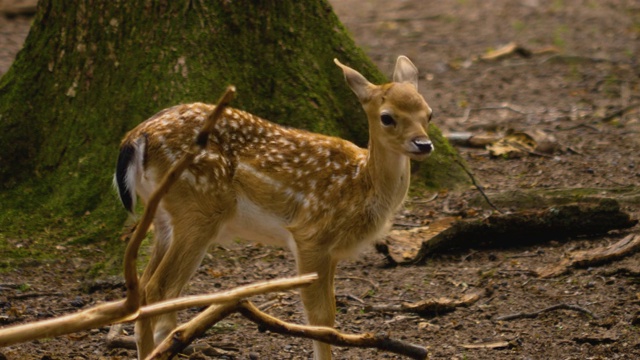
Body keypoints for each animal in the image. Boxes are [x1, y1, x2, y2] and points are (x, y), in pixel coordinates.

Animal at [115, 56, 436, 360]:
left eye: (429, 113)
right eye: (387, 117)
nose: (424, 144)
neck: (361, 183)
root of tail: (135, 137)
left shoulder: (331, 251)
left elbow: (329, 313)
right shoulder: (311, 234)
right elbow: (320, 317)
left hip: (163, 217)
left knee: (145, 287)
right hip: (198, 209)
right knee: (160, 289)